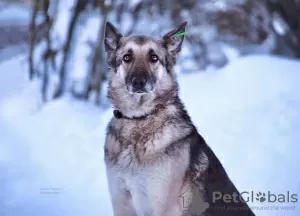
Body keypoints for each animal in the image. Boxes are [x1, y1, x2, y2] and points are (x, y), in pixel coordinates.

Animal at [103, 20, 255, 216]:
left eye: (154, 58)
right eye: (127, 57)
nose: (139, 82)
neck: (141, 119)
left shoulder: (164, 207)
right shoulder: (122, 203)